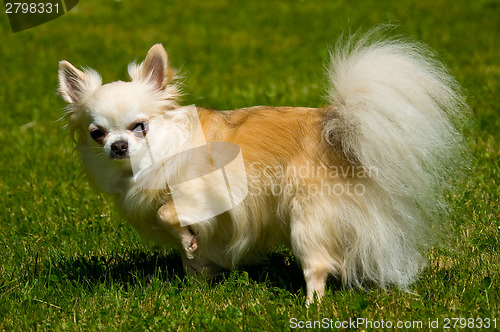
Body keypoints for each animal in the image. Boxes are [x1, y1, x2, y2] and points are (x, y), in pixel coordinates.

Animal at [58, 32, 464, 304]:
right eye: (97, 133)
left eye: (138, 126)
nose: (118, 146)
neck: (158, 153)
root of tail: (336, 126)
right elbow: (190, 252)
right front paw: (195, 283)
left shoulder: (211, 191)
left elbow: (167, 212)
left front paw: (187, 242)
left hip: (306, 221)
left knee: (317, 267)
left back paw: (310, 307)